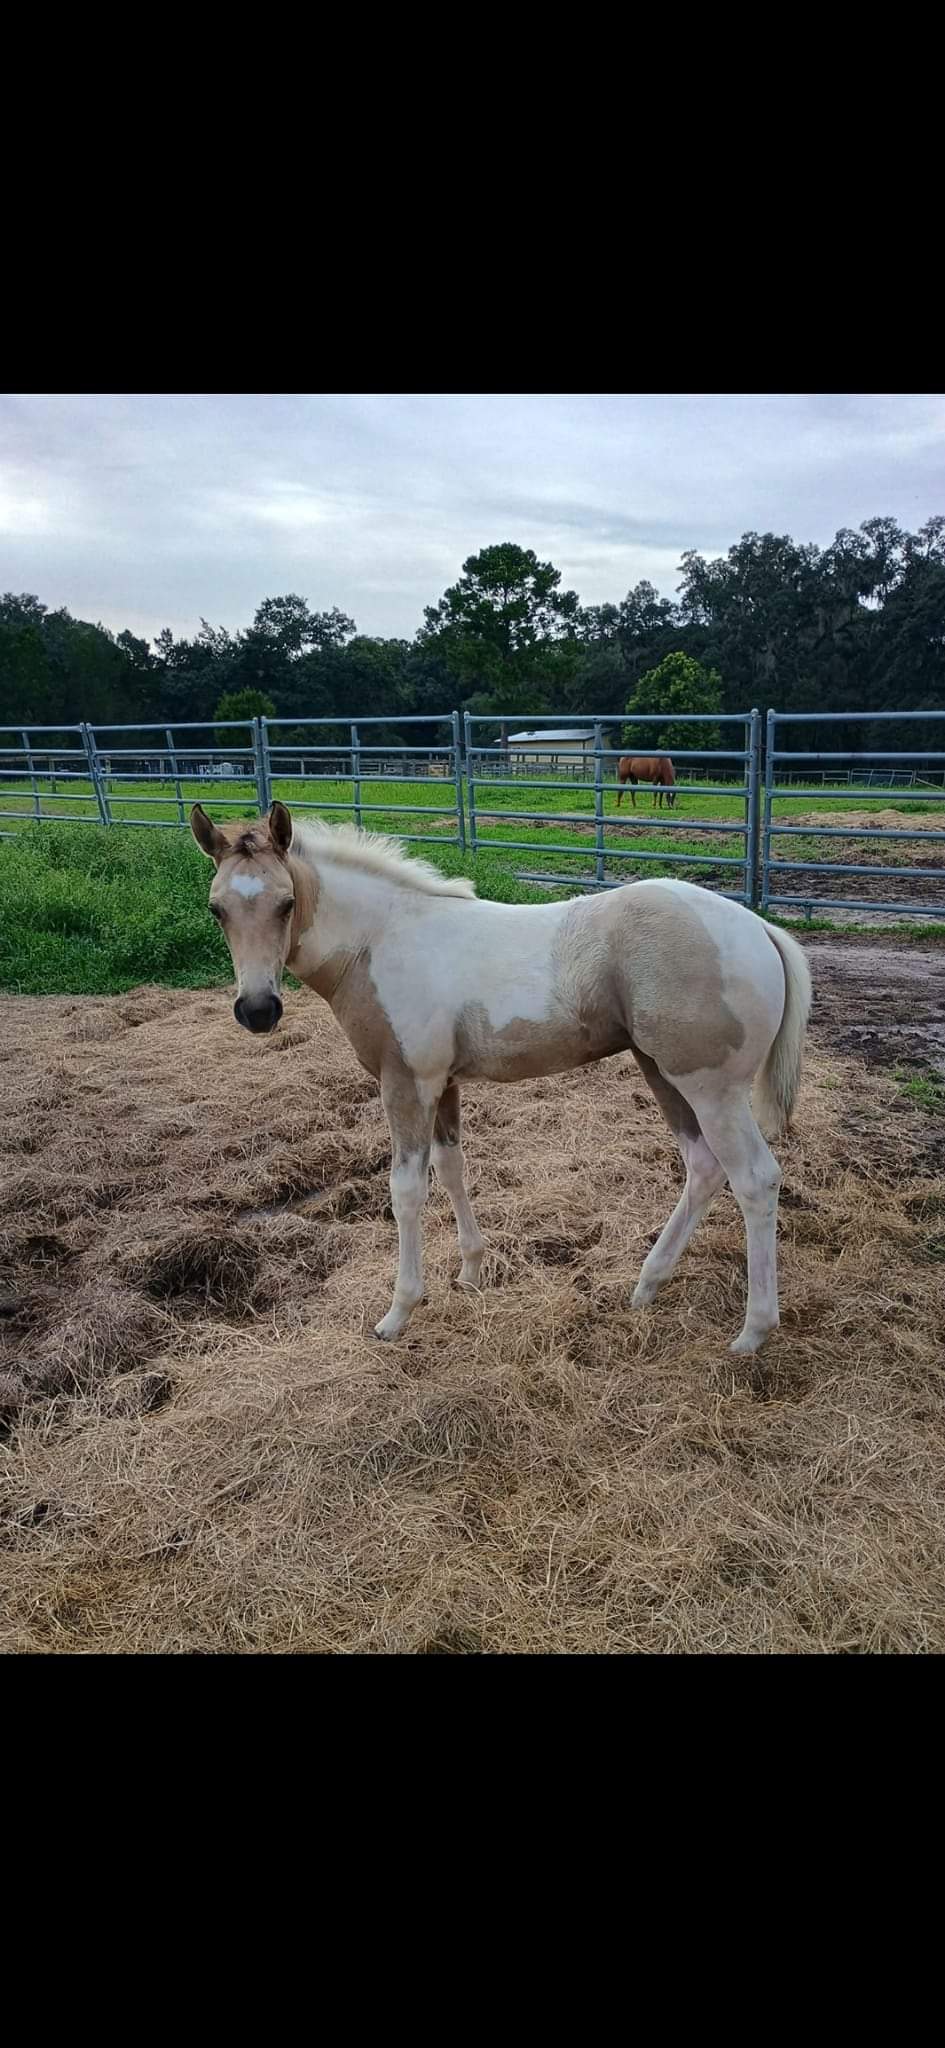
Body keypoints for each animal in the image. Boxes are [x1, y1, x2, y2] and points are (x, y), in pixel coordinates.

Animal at [190, 801, 811, 1356]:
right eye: (217, 909)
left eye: (287, 903)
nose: (258, 1011)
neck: (379, 939)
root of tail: (760, 927)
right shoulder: (442, 1084)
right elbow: (451, 1168)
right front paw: (469, 1272)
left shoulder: (406, 1083)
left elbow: (406, 1190)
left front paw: (398, 1312)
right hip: (661, 1071)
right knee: (704, 1167)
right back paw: (646, 1285)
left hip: (711, 1088)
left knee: (754, 1178)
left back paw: (753, 1332)